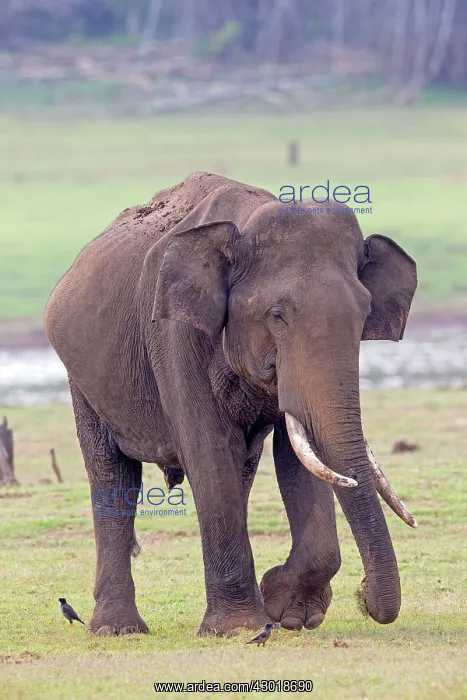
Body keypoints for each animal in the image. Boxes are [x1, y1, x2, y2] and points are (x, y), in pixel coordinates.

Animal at [45, 171, 417, 637]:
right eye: (277, 315)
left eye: (364, 315)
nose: (364, 597)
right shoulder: (171, 333)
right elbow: (208, 445)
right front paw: (238, 628)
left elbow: (297, 450)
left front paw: (289, 614)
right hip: (84, 379)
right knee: (113, 475)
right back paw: (119, 630)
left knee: (243, 468)